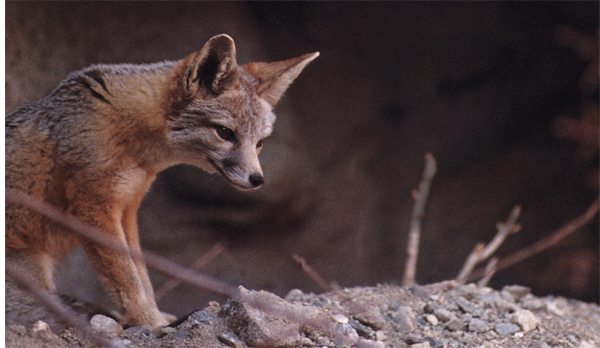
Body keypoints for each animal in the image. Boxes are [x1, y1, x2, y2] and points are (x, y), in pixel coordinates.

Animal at [4, 34, 318, 330]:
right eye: (225, 133)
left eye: (260, 143)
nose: (257, 179)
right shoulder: (94, 207)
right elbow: (126, 277)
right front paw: (150, 322)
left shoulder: (127, 209)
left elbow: (141, 275)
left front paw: (155, 317)